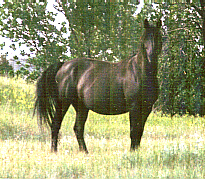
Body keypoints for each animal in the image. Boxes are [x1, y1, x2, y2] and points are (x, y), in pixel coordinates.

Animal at [34, 19, 163, 152]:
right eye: (145, 38)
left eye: (159, 37)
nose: (151, 58)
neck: (139, 72)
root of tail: (63, 65)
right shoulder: (134, 107)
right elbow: (134, 131)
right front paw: (132, 152)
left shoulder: (146, 108)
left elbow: (139, 131)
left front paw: (136, 151)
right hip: (63, 103)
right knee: (56, 125)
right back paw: (54, 151)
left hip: (81, 106)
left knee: (78, 128)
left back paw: (85, 152)